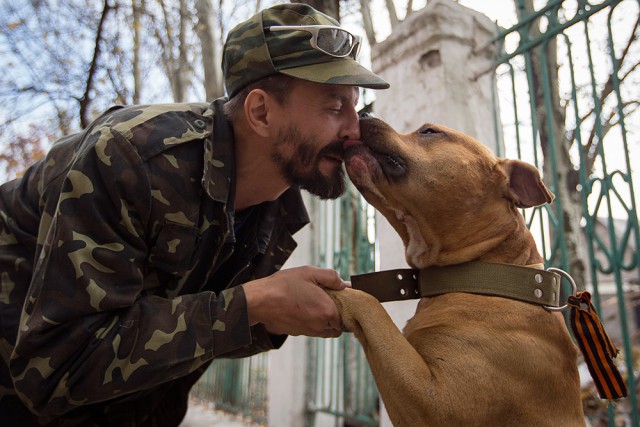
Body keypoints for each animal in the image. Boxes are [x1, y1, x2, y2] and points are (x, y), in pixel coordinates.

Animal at [332, 117, 588, 427]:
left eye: (430, 131)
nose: (363, 114)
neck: (482, 275)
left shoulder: (436, 404)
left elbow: (373, 309)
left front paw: (334, 290)